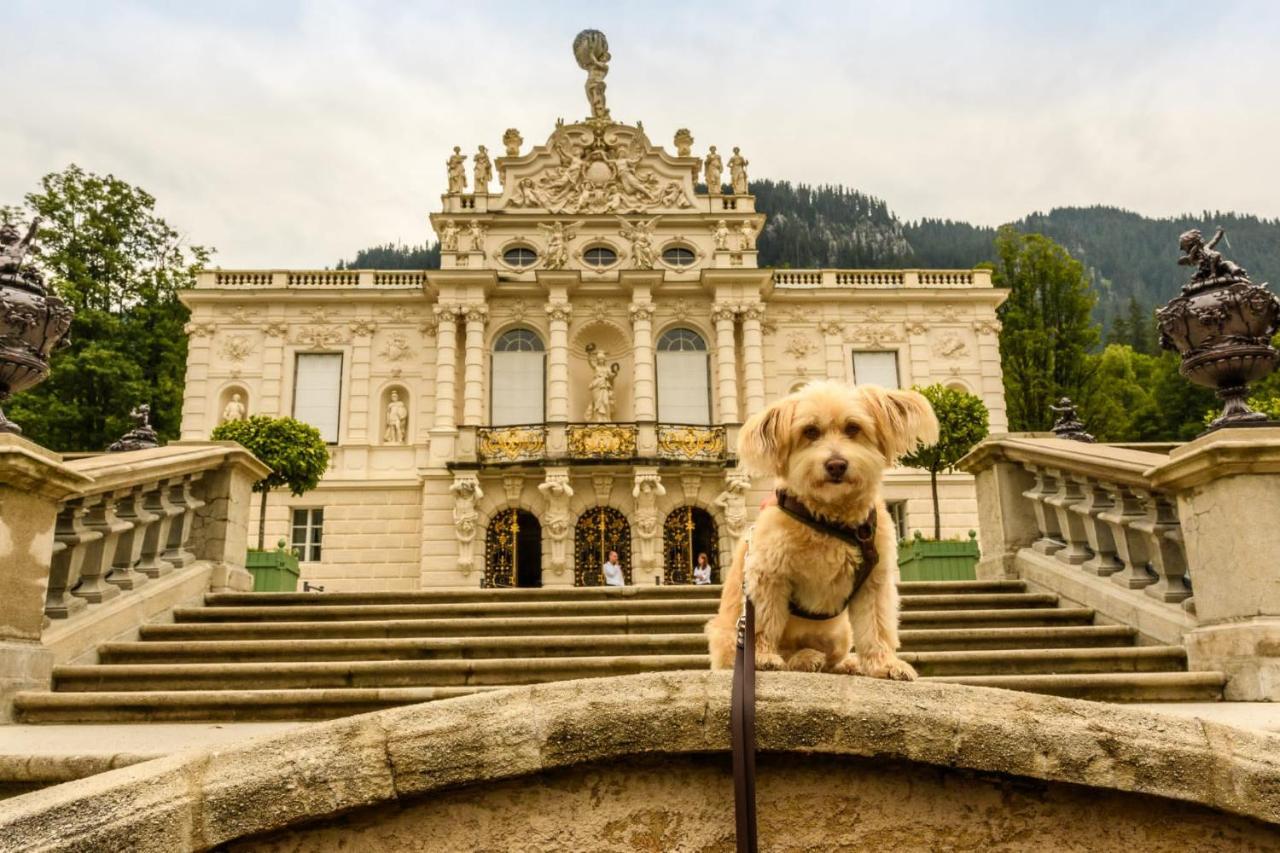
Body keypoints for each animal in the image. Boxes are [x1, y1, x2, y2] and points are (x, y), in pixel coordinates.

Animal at [706, 379, 936, 676]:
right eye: (810, 431)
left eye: (853, 428)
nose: (836, 465)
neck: (830, 519)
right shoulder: (768, 576)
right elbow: (765, 621)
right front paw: (762, 657)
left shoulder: (875, 583)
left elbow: (877, 626)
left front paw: (884, 664)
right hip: (727, 637)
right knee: (786, 652)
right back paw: (802, 658)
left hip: (839, 633)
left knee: (831, 658)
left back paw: (845, 663)